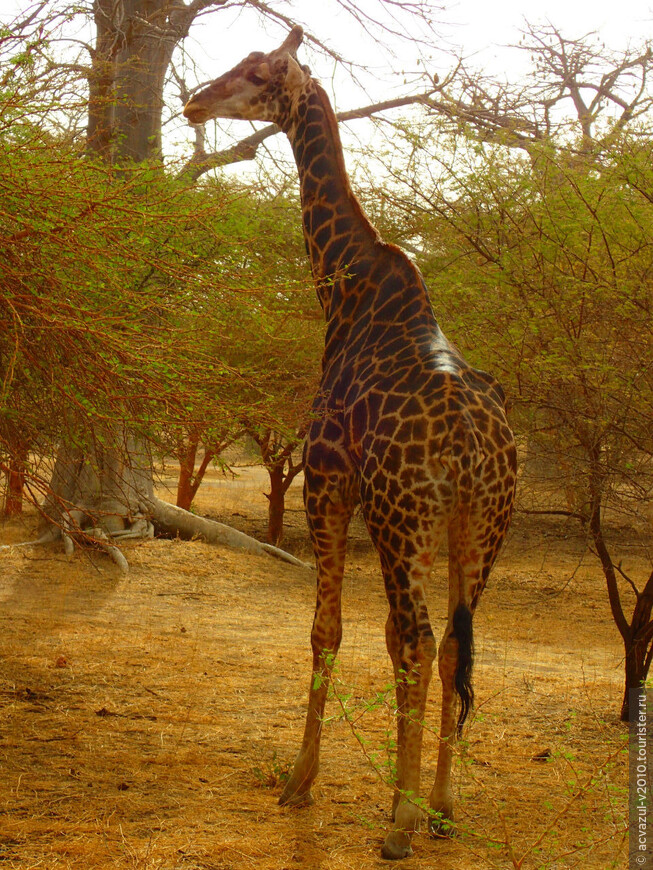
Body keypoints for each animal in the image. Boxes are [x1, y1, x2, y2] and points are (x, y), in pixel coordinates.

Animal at [183, 27, 516, 864]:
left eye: (256, 71)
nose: (195, 99)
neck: (341, 289)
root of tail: (476, 450)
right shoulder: (373, 502)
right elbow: (386, 638)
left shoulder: (326, 479)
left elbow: (325, 629)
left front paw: (299, 782)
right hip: (480, 529)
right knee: (456, 645)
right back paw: (440, 806)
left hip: (403, 517)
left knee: (419, 642)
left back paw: (398, 822)